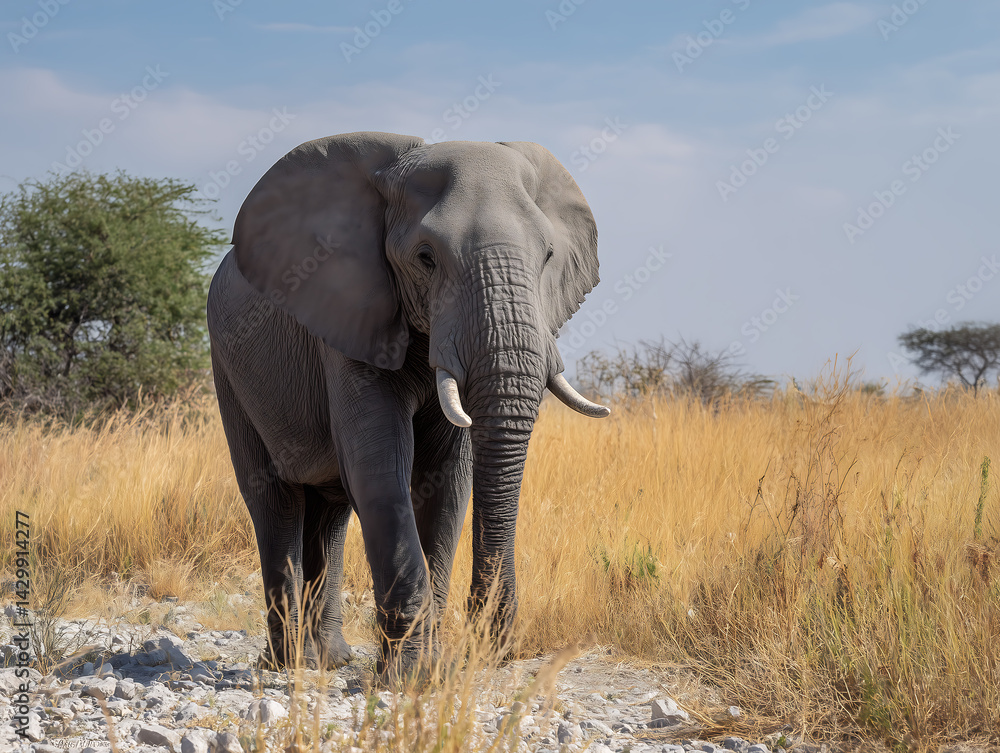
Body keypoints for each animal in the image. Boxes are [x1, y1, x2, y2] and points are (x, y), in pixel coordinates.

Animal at [206, 131, 610, 675]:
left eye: (548, 255)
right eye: (425, 258)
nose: (492, 648)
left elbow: (447, 481)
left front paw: (429, 669)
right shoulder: (349, 319)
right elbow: (379, 467)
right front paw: (414, 675)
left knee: (331, 514)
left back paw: (329, 660)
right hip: (230, 371)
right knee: (276, 502)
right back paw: (288, 664)